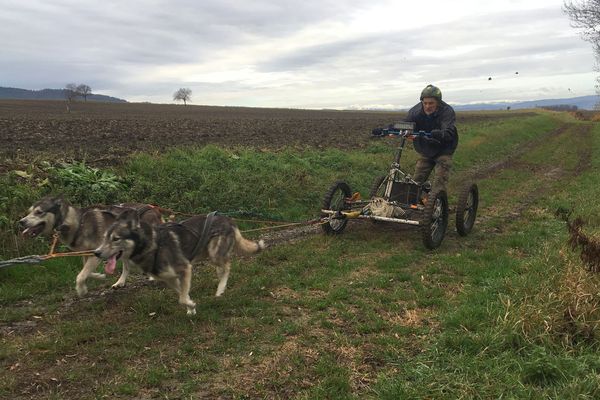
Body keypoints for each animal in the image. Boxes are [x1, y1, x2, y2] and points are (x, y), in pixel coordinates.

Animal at [18, 195, 162, 296]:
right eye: (29, 211)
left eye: (39, 212)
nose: (21, 222)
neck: (77, 223)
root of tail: (154, 209)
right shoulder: (88, 253)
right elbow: (85, 271)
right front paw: (98, 276)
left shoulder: (95, 253)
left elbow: (81, 276)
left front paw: (81, 289)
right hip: (123, 249)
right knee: (126, 266)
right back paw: (120, 282)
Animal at [95, 209, 264, 316]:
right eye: (104, 238)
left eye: (116, 239)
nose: (96, 252)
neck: (153, 245)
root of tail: (227, 218)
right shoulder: (170, 278)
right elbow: (182, 294)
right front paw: (191, 307)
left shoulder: (184, 269)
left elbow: (181, 299)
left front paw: (191, 305)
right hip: (209, 253)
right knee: (221, 268)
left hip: (215, 254)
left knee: (228, 265)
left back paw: (221, 289)